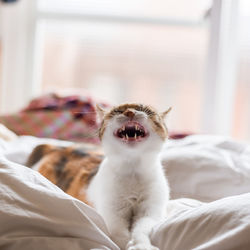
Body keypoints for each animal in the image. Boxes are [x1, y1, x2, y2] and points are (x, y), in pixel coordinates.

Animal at [27, 102, 172, 249]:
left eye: (145, 110)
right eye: (117, 111)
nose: (130, 112)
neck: (132, 169)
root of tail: (58, 147)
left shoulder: (150, 211)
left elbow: (141, 229)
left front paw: (142, 245)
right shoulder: (113, 216)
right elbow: (120, 236)